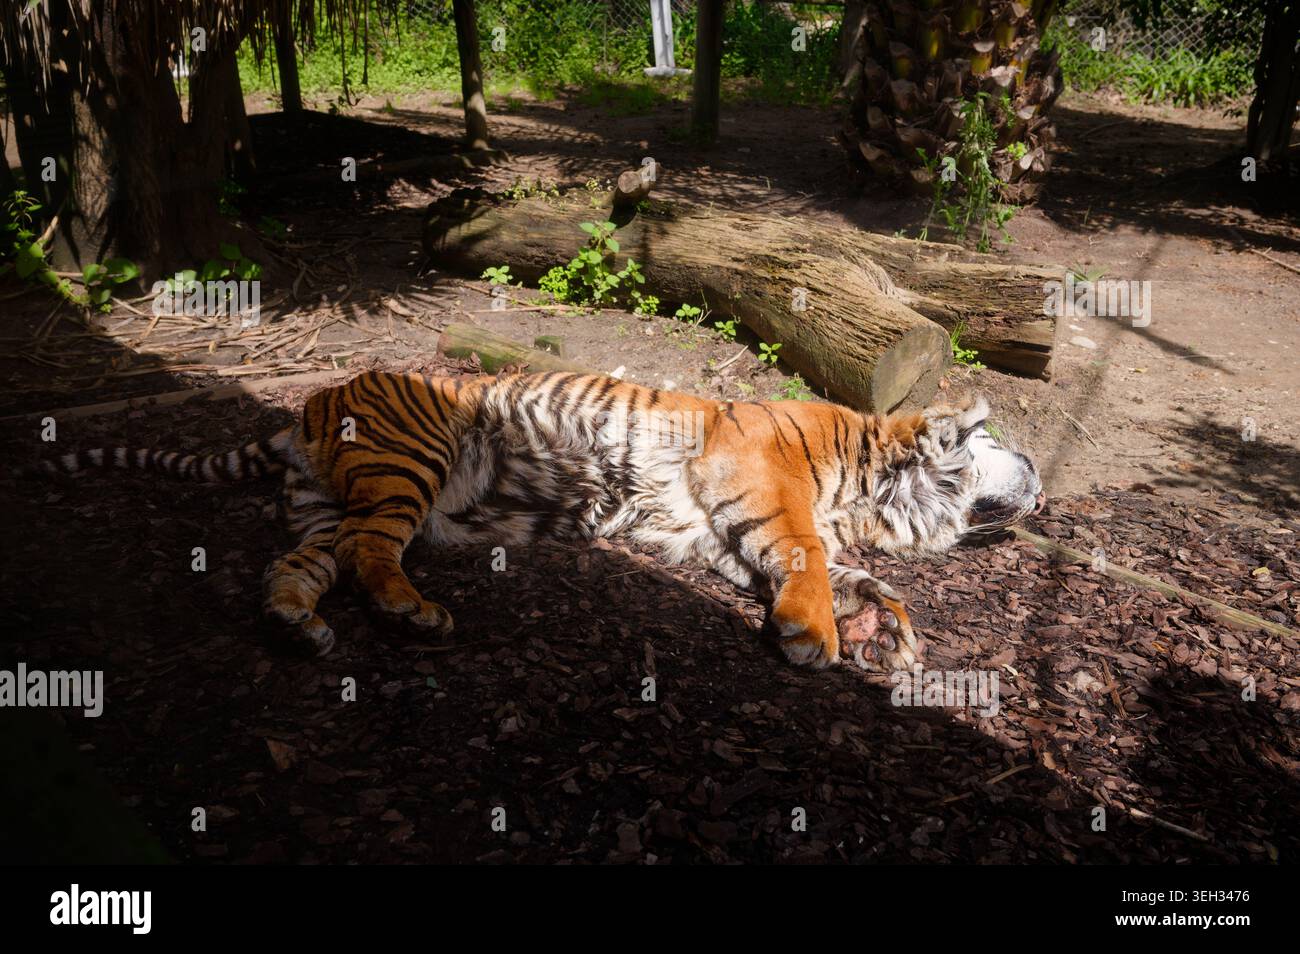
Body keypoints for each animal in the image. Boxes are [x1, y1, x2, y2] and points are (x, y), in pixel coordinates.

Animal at [37, 370, 1044, 670]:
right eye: (1007, 446)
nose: (1041, 479)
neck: (873, 490)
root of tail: (307, 408)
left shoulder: (710, 531)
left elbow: (838, 569)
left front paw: (882, 625)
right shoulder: (755, 473)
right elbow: (803, 552)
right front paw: (820, 635)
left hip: (328, 505)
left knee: (297, 565)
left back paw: (298, 626)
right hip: (414, 457)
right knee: (368, 553)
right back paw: (413, 612)